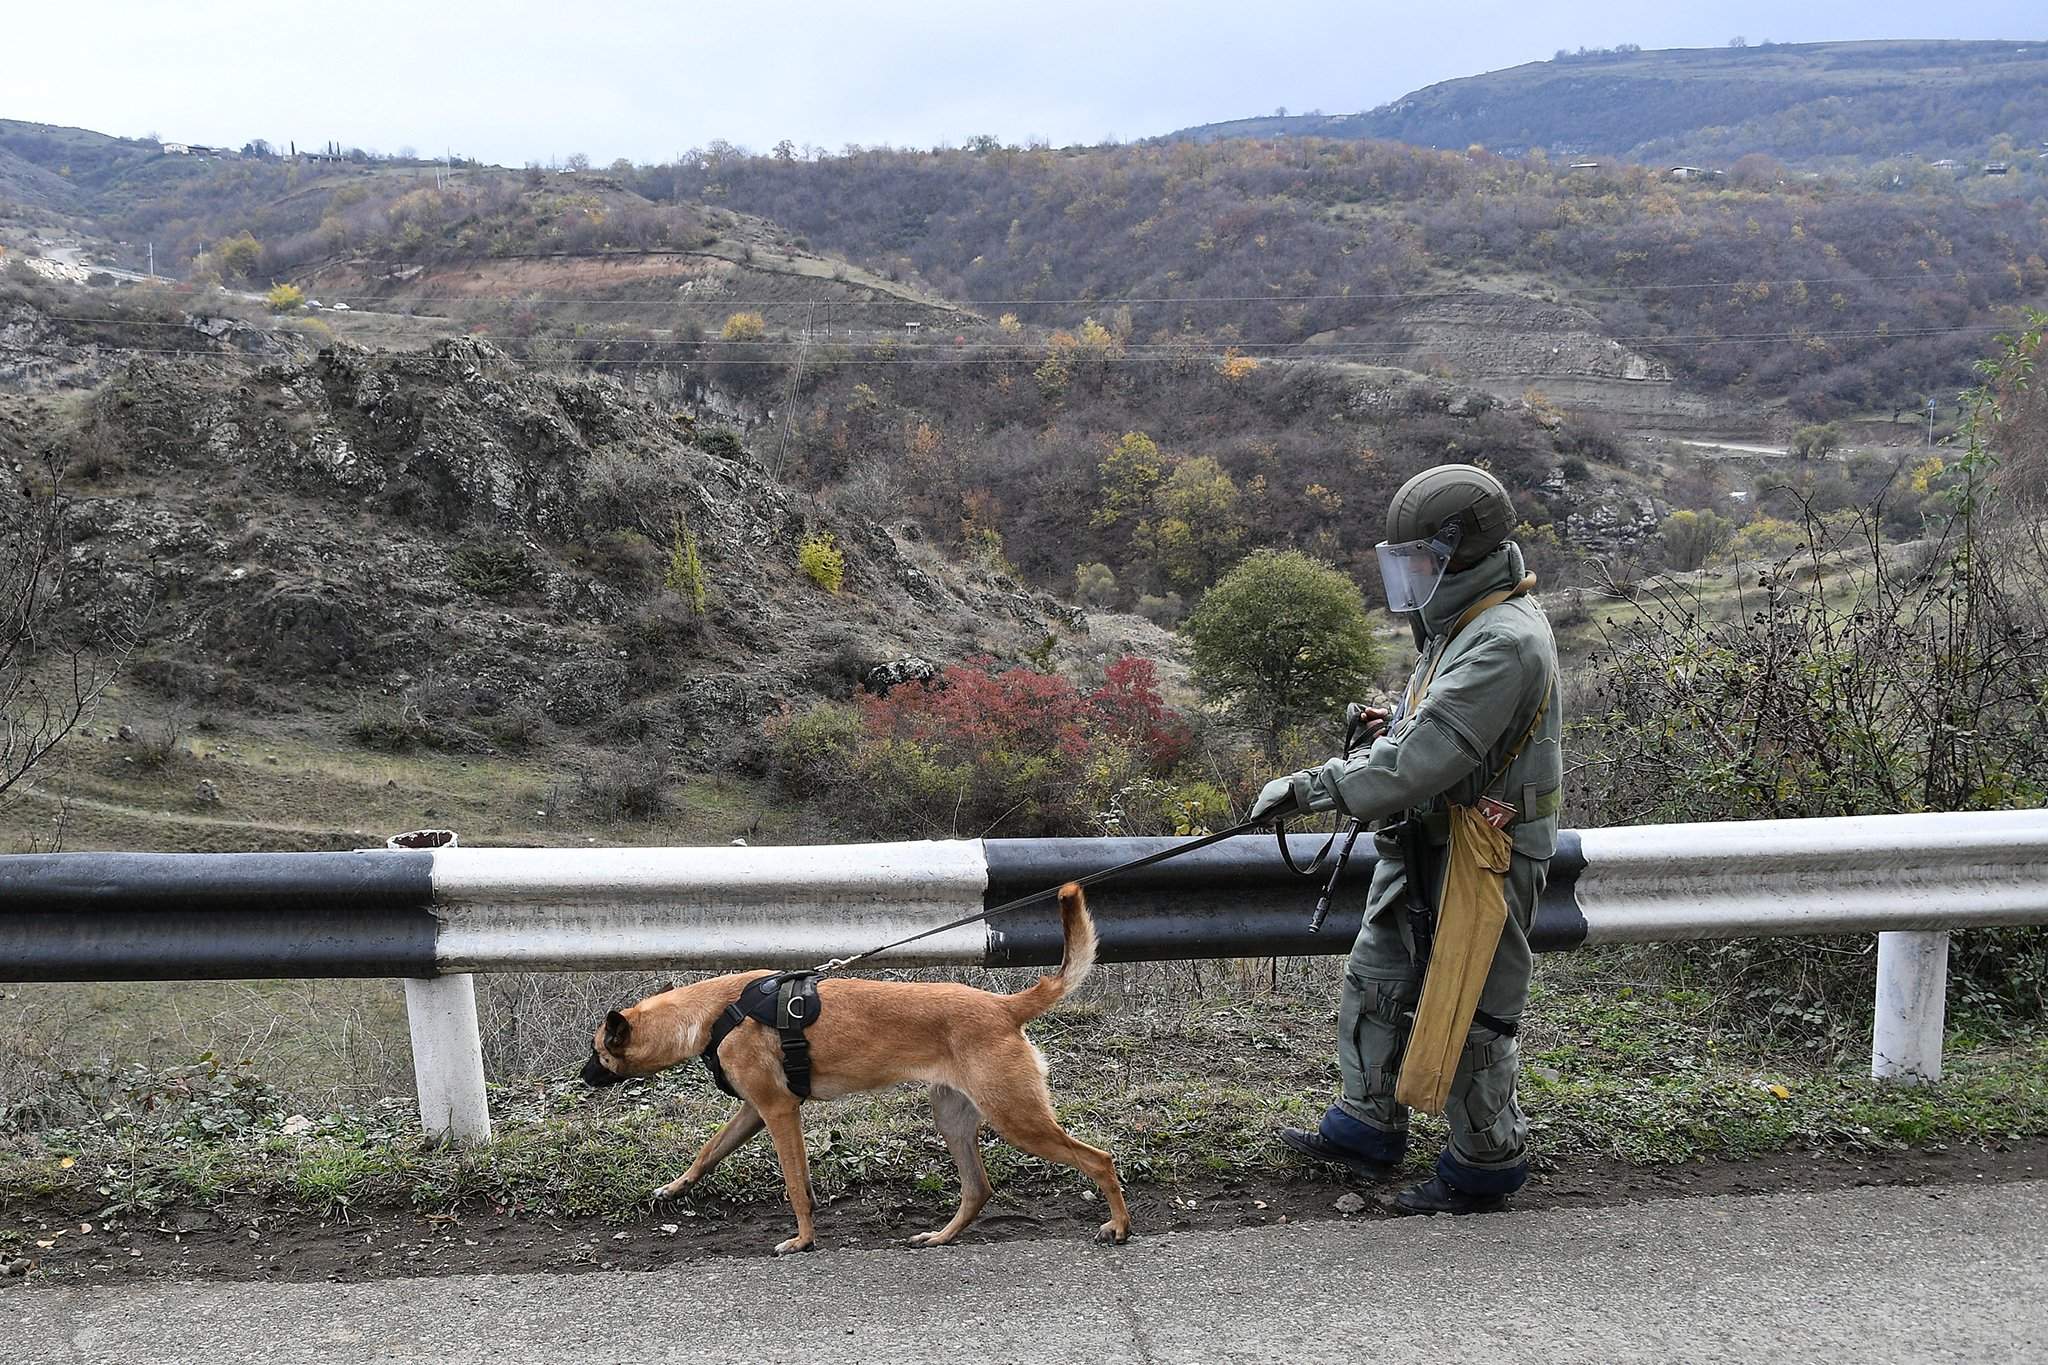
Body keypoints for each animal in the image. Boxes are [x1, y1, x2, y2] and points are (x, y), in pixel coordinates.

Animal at [581, 888, 1138, 1260]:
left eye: (597, 1051)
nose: (582, 1078)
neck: (716, 1013)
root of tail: (1003, 1007)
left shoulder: (779, 1112)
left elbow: (795, 1185)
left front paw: (803, 1239)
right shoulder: (754, 1112)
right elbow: (707, 1153)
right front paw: (674, 1189)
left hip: (1016, 1118)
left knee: (1100, 1159)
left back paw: (1118, 1226)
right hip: (954, 1118)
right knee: (977, 1189)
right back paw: (940, 1236)